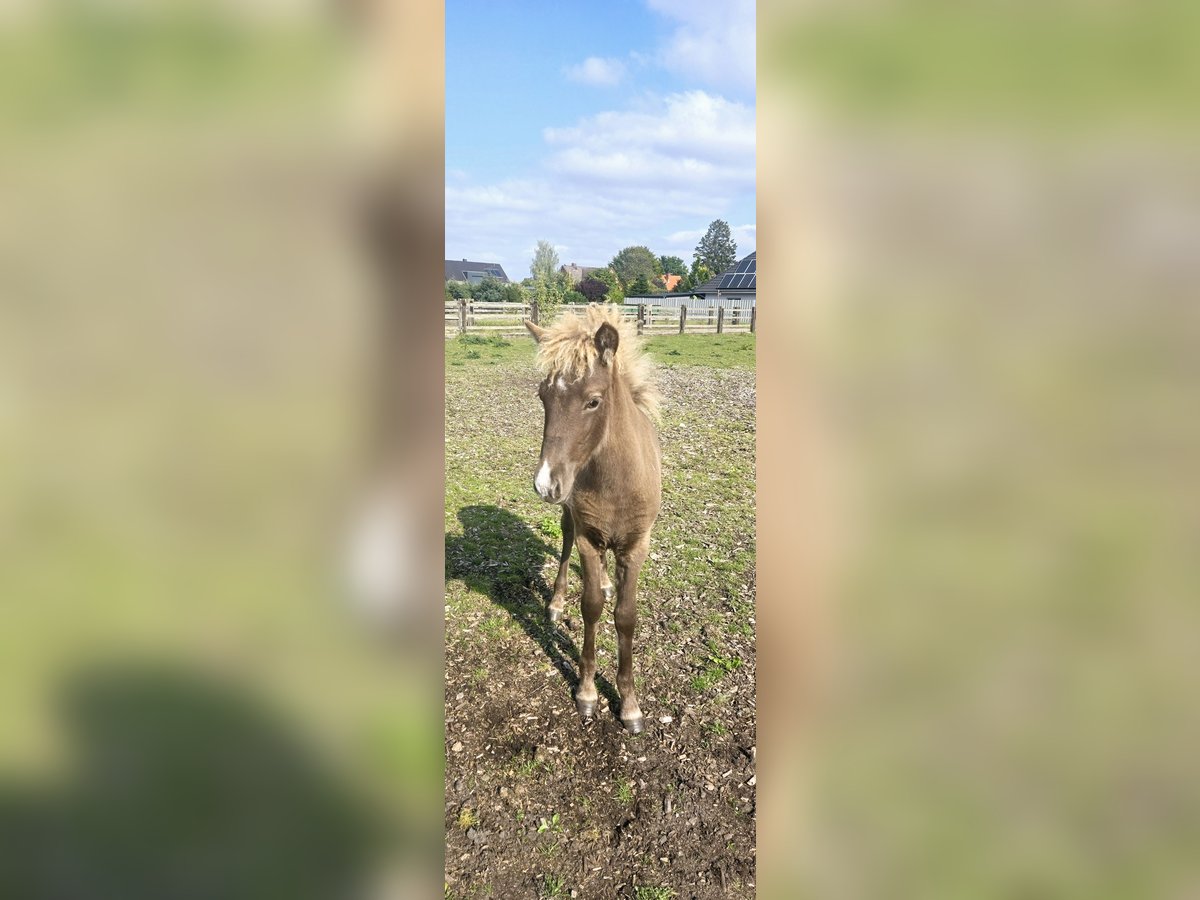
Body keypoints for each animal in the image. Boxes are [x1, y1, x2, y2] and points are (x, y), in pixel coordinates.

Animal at [523, 307, 662, 734]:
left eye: (593, 402)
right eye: (543, 396)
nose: (545, 483)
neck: (617, 482)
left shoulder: (636, 545)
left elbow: (625, 616)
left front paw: (629, 705)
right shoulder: (588, 537)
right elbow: (591, 607)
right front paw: (586, 692)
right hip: (572, 517)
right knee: (566, 540)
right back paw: (556, 602)